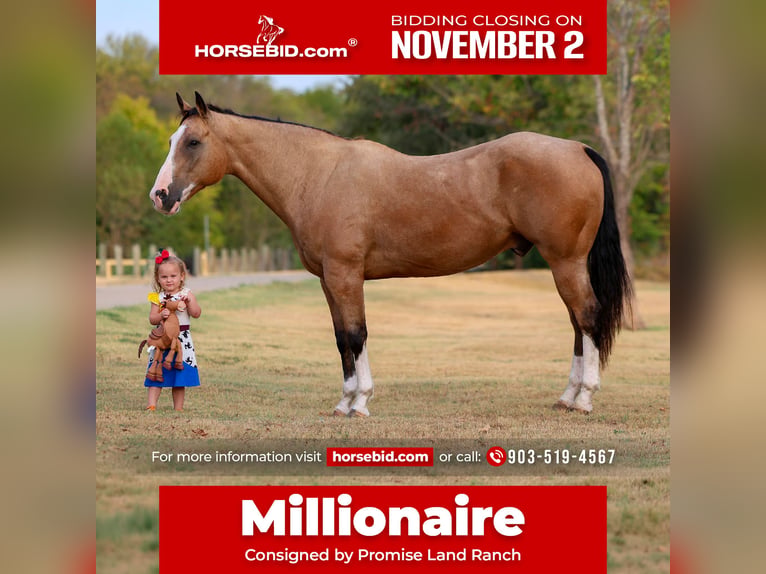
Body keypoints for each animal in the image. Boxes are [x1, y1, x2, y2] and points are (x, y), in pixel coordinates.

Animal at [149, 91, 631, 416]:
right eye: (172, 139)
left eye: (192, 142)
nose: (160, 196)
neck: (318, 175)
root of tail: (578, 148)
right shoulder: (329, 280)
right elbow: (342, 337)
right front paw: (346, 401)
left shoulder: (346, 275)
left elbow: (356, 335)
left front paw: (359, 403)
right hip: (564, 264)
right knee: (577, 322)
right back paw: (567, 397)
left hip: (565, 261)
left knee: (587, 316)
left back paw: (583, 398)